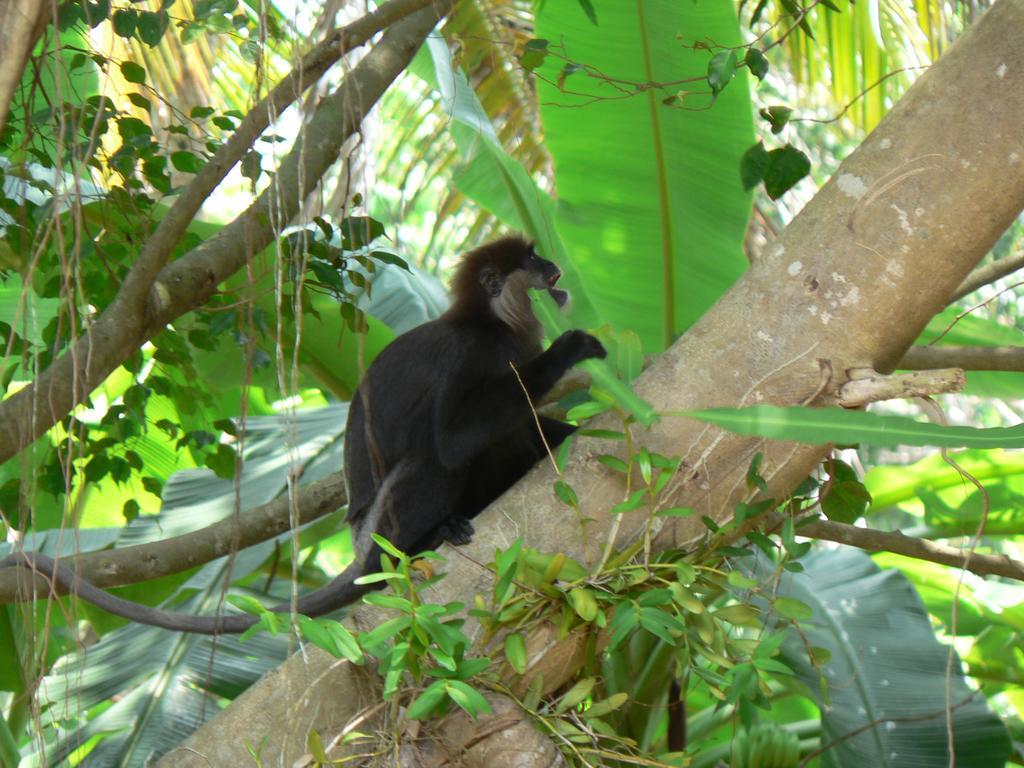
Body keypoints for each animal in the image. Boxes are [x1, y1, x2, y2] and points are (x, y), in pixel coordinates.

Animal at [0, 237, 602, 634]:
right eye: (532, 262)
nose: (552, 264)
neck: (495, 321)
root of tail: (360, 545)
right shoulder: (475, 352)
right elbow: (452, 440)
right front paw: (570, 349)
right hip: (382, 526)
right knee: (437, 458)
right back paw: (423, 542)